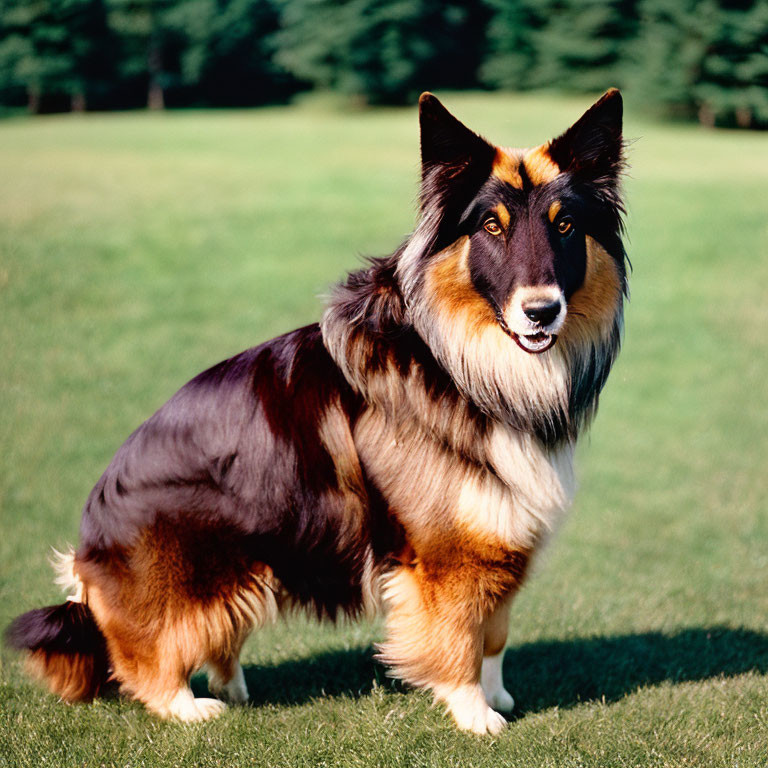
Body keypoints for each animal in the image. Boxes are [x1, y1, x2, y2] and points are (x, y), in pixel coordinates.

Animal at [6, 88, 628, 732]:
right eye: (490, 226)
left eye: (565, 225)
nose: (542, 311)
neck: (458, 358)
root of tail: (87, 548)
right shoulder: (447, 554)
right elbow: (459, 638)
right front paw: (476, 715)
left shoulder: (501, 533)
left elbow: (495, 636)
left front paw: (498, 694)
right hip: (197, 568)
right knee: (146, 651)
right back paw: (188, 705)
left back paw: (234, 687)